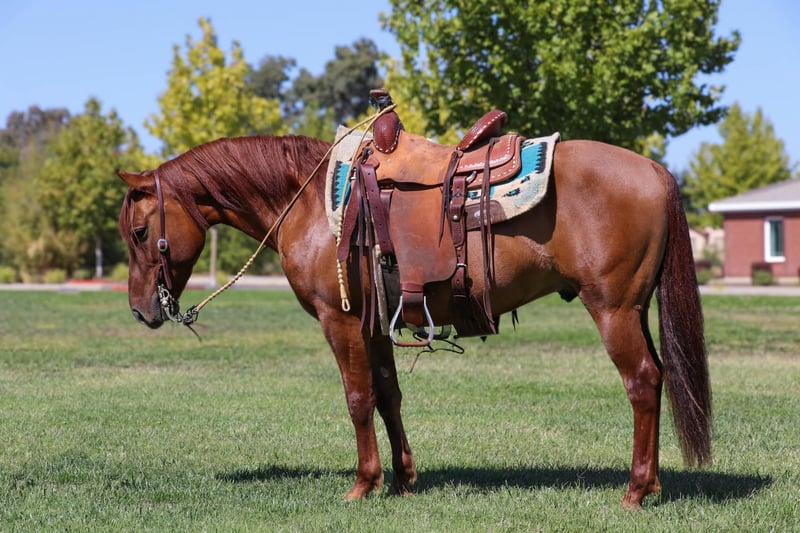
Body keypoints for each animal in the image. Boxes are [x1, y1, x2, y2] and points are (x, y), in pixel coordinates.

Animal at [117, 132, 711, 508]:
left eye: (140, 232)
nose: (142, 310)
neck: (308, 201)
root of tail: (656, 170)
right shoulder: (374, 324)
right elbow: (387, 394)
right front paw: (402, 479)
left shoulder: (340, 321)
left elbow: (358, 399)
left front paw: (363, 484)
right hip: (634, 310)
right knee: (657, 379)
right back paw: (653, 485)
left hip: (613, 310)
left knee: (642, 383)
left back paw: (634, 491)